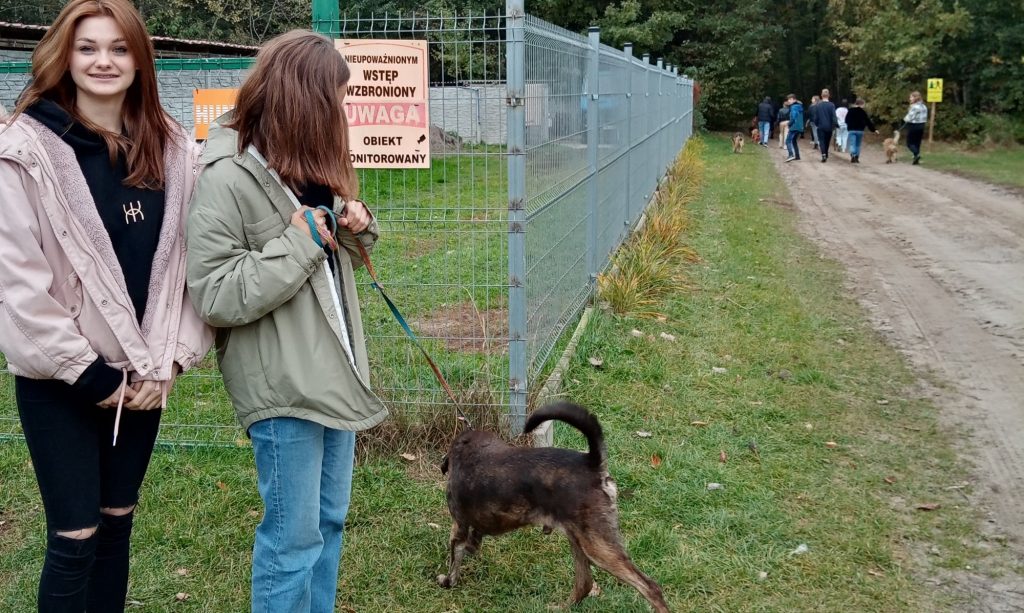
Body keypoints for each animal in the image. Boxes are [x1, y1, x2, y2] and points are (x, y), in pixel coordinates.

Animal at [436, 403, 667, 613]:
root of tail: (592, 462)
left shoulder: (458, 526)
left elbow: (454, 559)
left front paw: (447, 581)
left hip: (598, 546)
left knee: (650, 587)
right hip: (578, 540)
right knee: (584, 584)